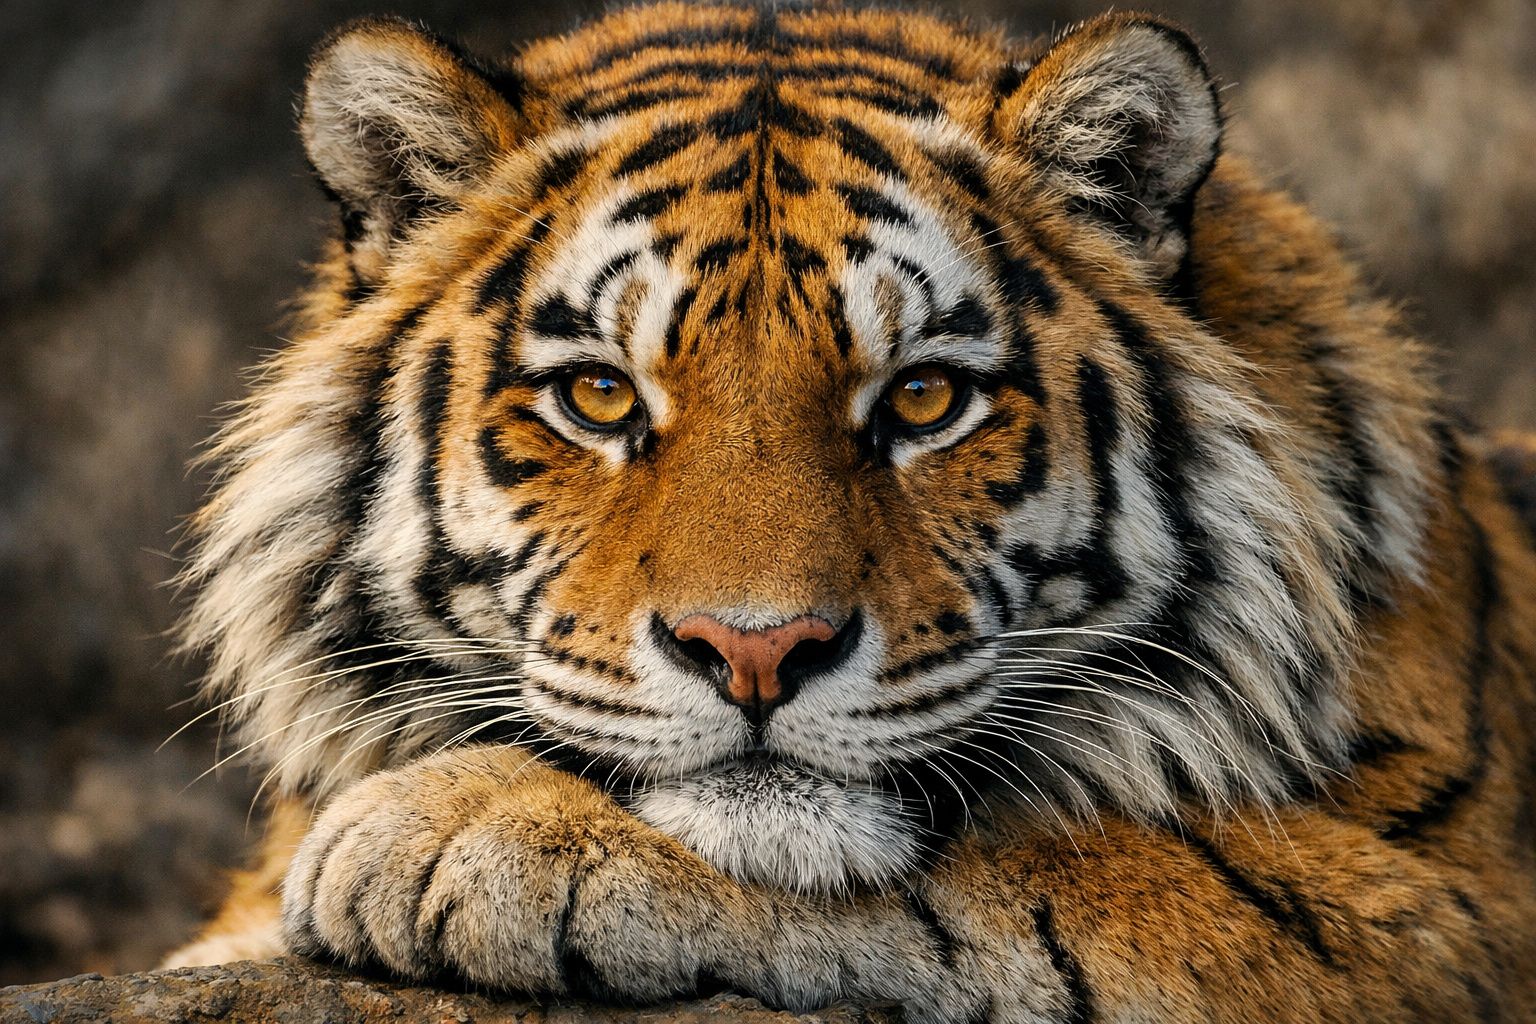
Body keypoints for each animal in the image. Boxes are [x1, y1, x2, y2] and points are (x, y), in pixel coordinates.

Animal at [164, 2, 1536, 1020]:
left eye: (924, 396)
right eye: (600, 395)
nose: (757, 650)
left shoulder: (1422, 892)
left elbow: (1041, 862)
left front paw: (458, 828)